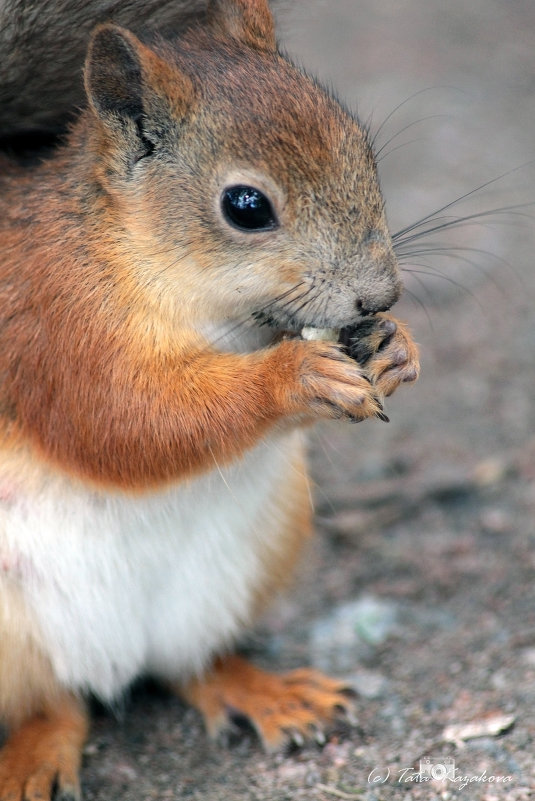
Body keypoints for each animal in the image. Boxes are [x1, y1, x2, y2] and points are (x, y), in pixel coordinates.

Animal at [0, 1, 418, 800]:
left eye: (362, 149)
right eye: (245, 206)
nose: (379, 296)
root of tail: (112, 657)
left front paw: (397, 346)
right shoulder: (55, 326)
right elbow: (122, 422)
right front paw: (294, 376)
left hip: (250, 559)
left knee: (188, 664)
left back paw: (268, 693)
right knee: (54, 702)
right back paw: (33, 756)